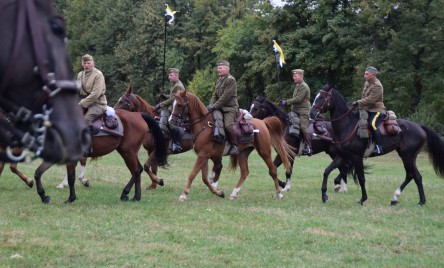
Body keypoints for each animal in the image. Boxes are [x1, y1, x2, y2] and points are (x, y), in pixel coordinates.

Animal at [31, 110, 166, 204]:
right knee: (137, 170)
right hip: (128, 152)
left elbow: (71, 179)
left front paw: (71, 198)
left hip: (128, 152)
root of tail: (137, 114)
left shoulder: (72, 160)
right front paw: (44, 197)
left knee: (137, 170)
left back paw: (125, 193)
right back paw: (136, 197)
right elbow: (38, 173)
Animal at [308, 84, 444, 205]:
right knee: (414, 176)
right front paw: (325, 196)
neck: (347, 126)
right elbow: (326, 171)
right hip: (406, 155)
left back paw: (414, 200)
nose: (311, 114)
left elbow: (361, 178)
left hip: (408, 156)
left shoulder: (356, 157)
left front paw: (362, 199)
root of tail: (420, 127)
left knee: (414, 176)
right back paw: (402, 199)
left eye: (321, 97)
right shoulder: (341, 156)